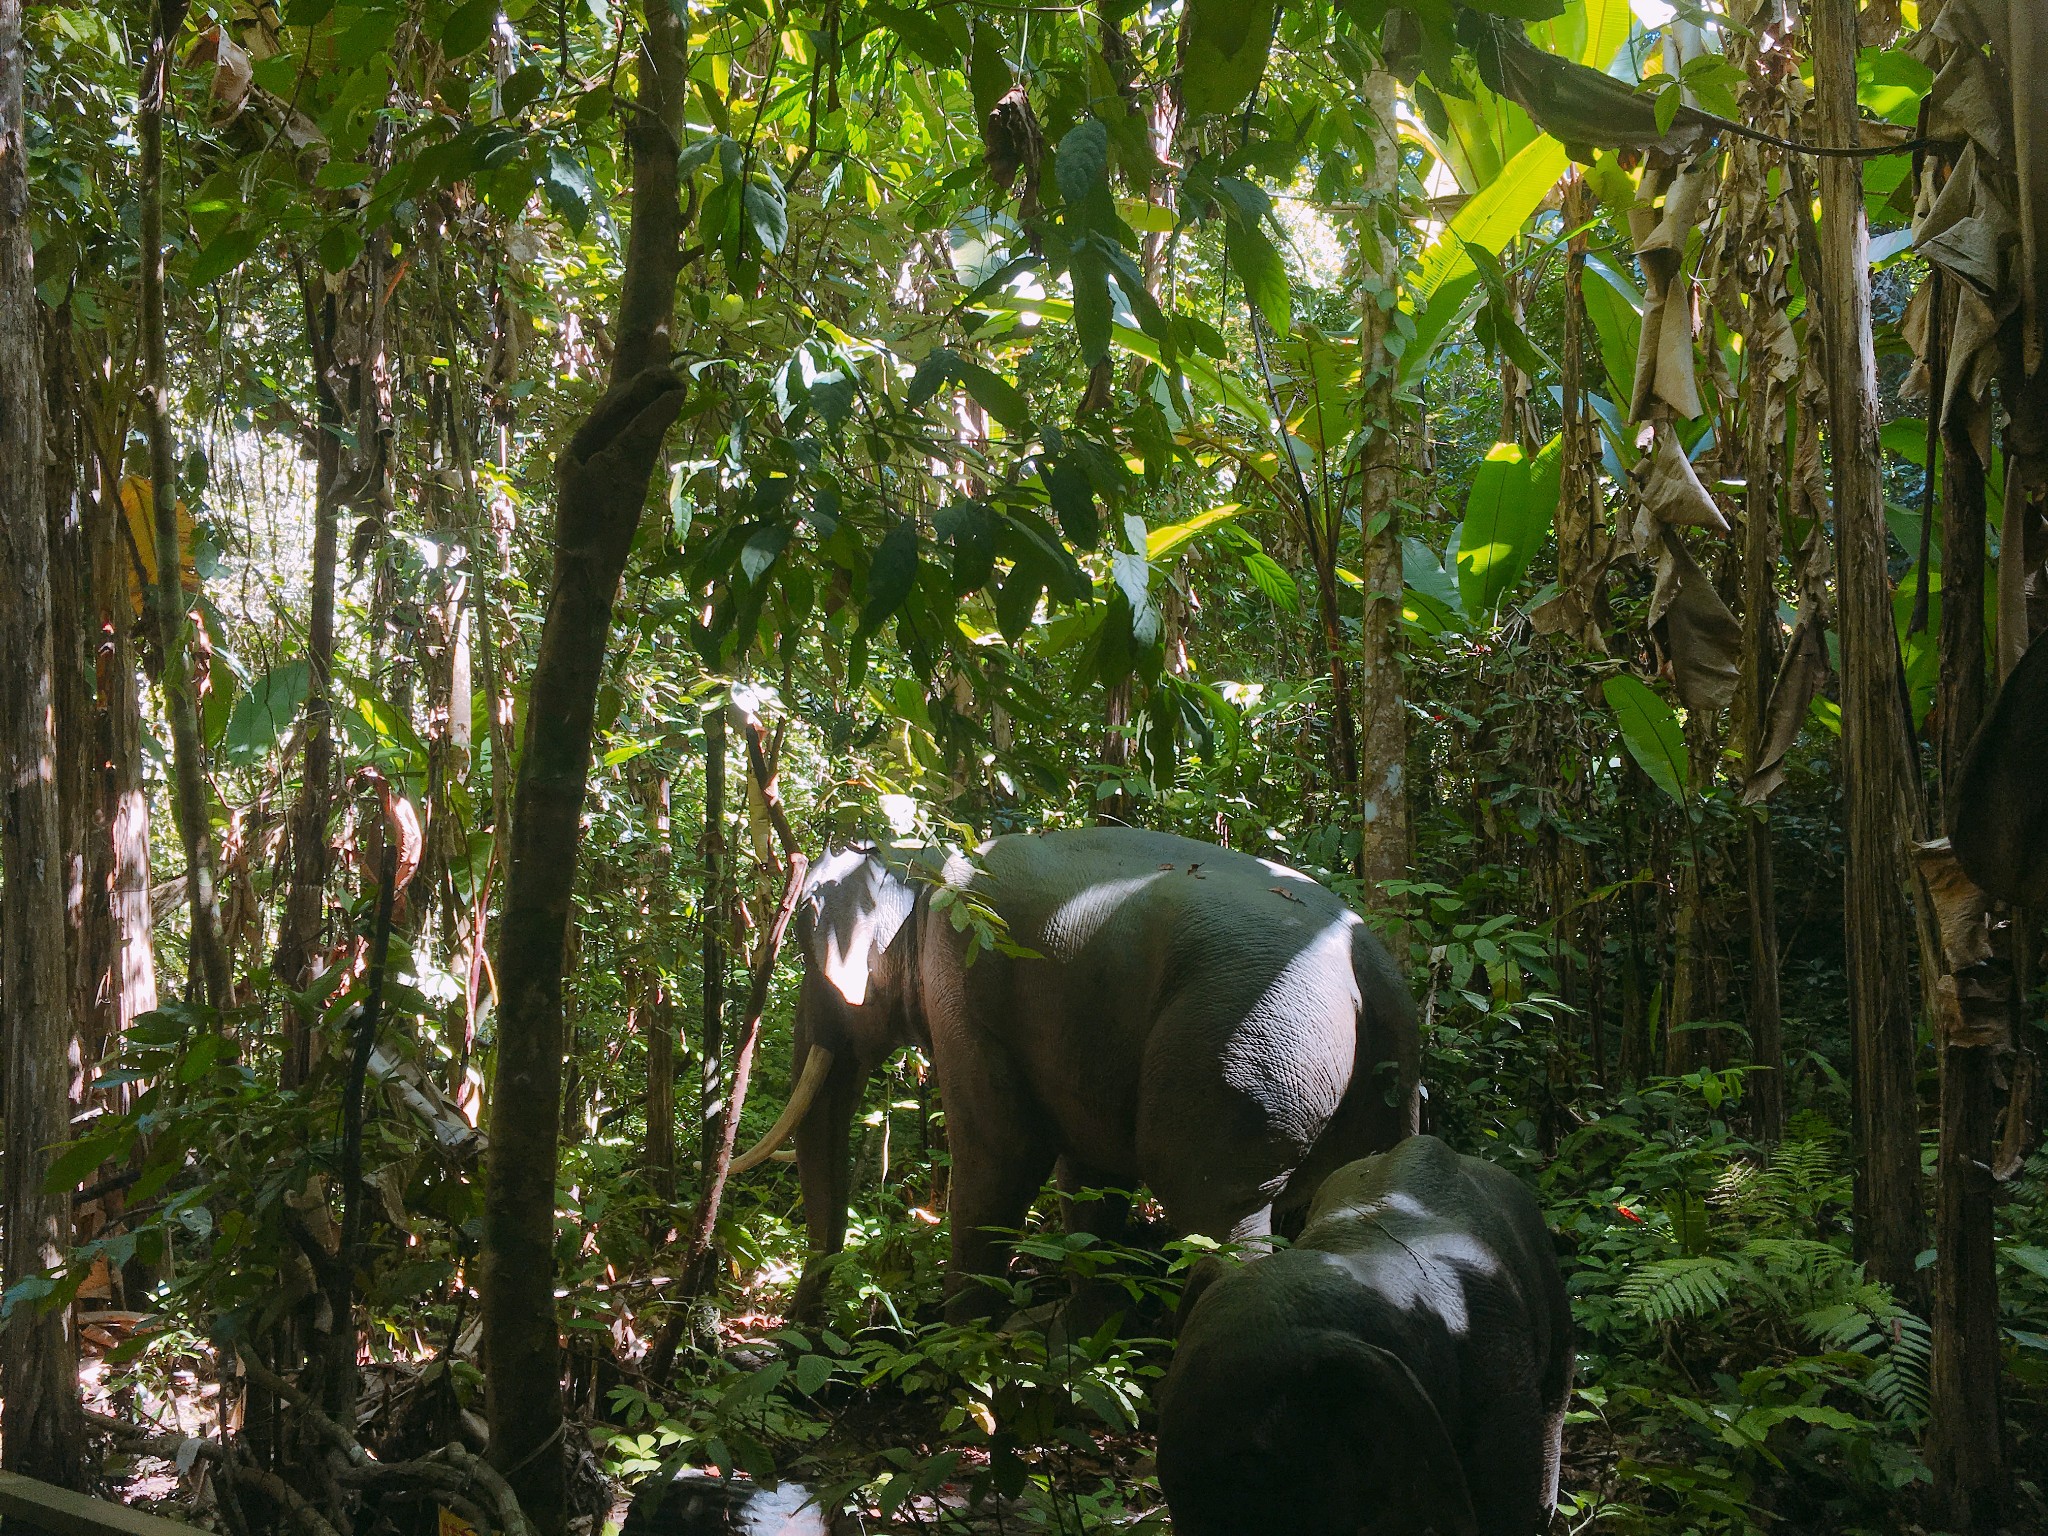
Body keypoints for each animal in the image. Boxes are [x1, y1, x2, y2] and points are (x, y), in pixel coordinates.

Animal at [737, 831, 1425, 1327]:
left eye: (806, 950)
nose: (801, 1330)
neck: (925, 863)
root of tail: (1373, 961)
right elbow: (1089, 1172)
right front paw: (1083, 1329)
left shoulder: (966, 982)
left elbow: (1004, 1153)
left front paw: (951, 1342)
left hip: (1243, 1044)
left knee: (1211, 1202)